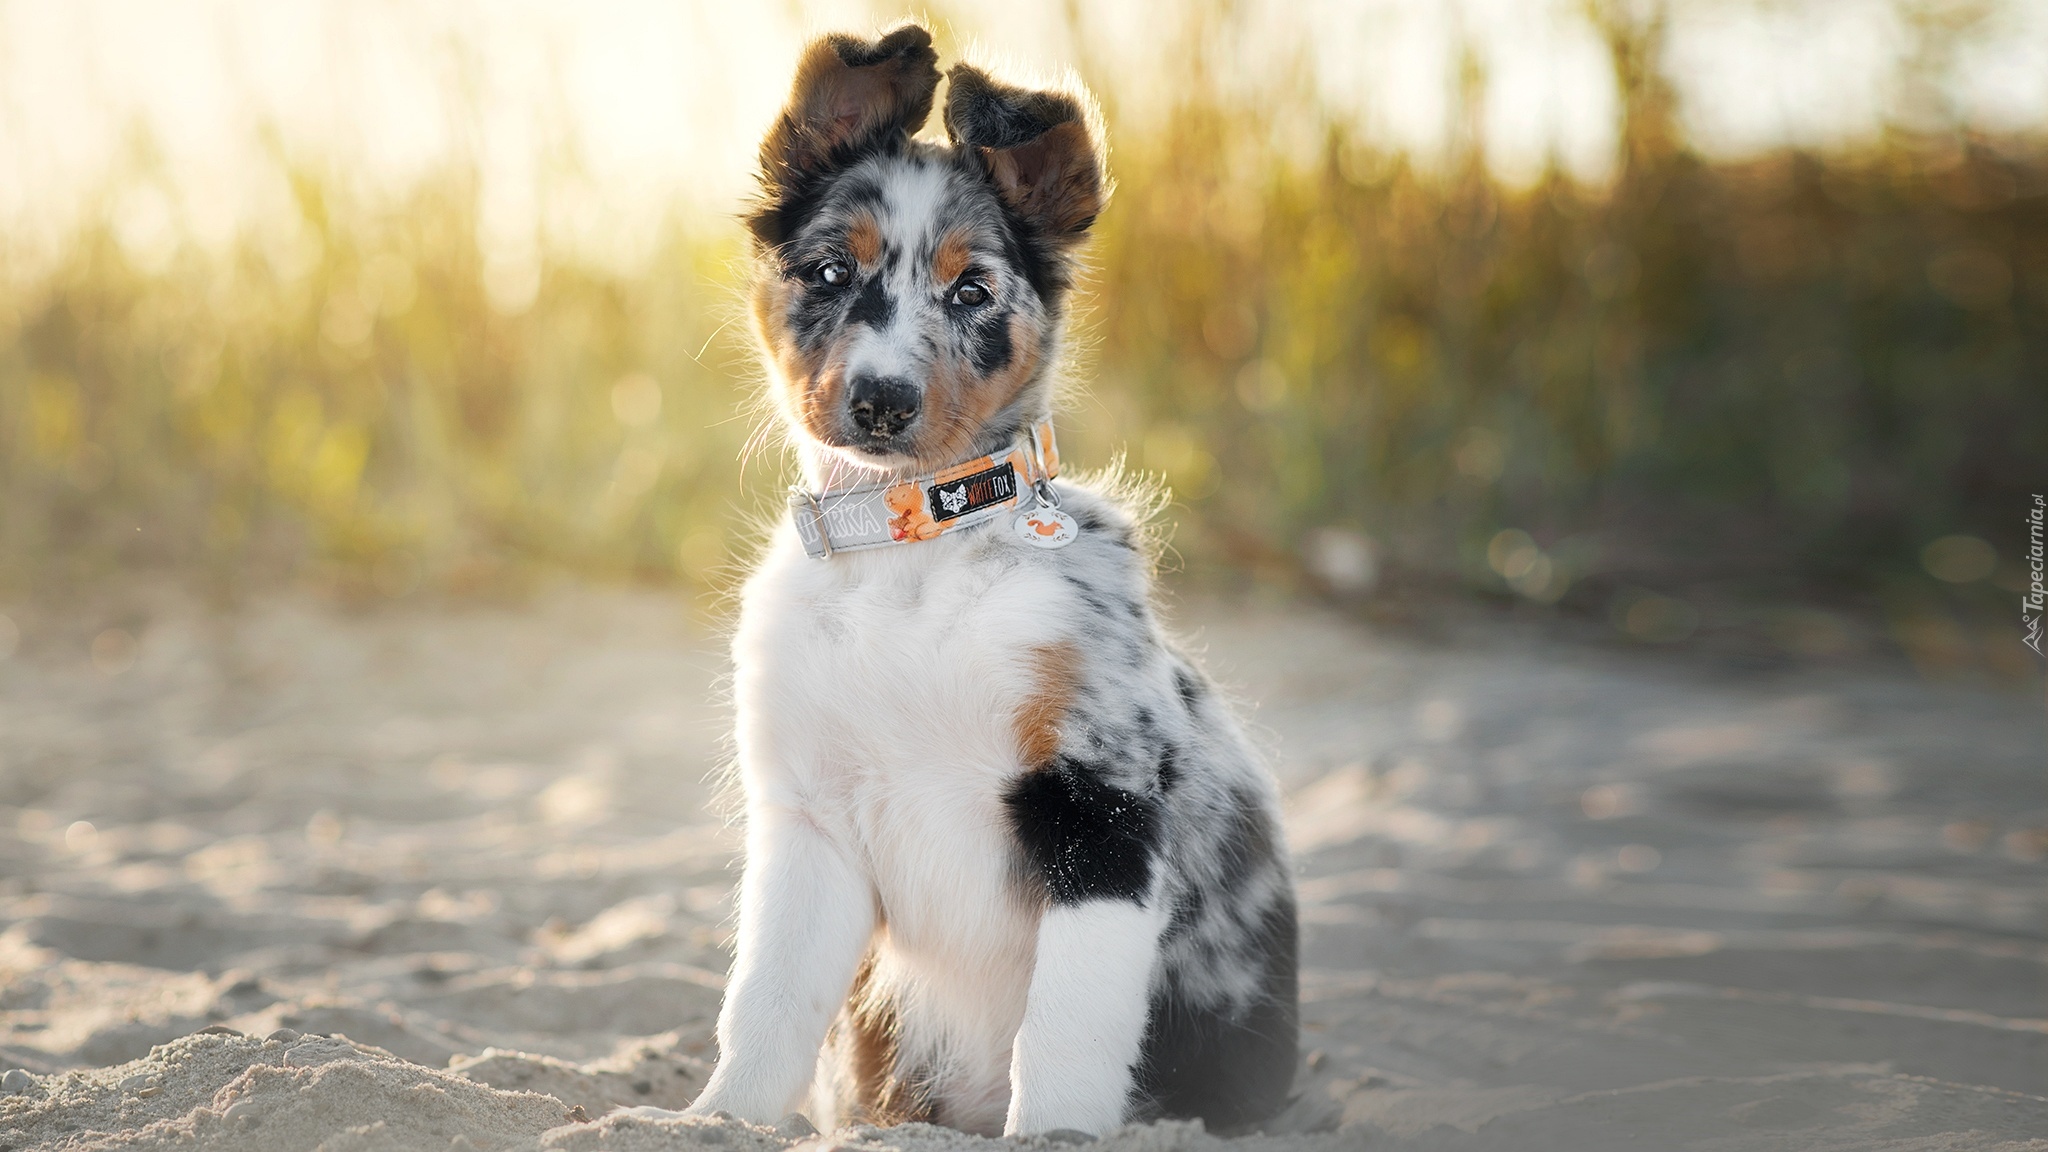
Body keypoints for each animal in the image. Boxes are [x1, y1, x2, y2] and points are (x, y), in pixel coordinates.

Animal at [679, 22, 1302, 1131]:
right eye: (828, 271)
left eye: (971, 291)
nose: (881, 402)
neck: (910, 556)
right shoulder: (810, 819)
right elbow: (766, 1004)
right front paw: (721, 1122)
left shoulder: (1098, 805)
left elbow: (1066, 1030)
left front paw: (1056, 1136)